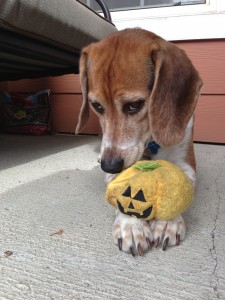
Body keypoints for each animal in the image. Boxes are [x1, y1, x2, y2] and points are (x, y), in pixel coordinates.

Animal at [75, 28, 202, 255]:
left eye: (134, 105)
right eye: (97, 106)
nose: (109, 165)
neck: (150, 143)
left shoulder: (186, 164)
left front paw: (168, 222)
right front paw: (131, 226)